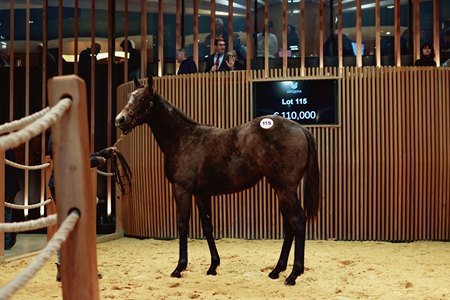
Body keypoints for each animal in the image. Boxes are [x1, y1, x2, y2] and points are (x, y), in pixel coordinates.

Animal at [116, 77, 320, 286]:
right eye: (130, 96)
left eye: (143, 98)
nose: (120, 119)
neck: (183, 138)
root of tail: (300, 128)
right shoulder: (201, 193)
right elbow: (207, 227)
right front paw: (213, 266)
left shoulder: (182, 189)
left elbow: (182, 225)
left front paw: (179, 268)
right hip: (282, 189)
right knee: (289, 225)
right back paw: (276, 270)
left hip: (285, 188)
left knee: (297, 220)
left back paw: (293, 274)